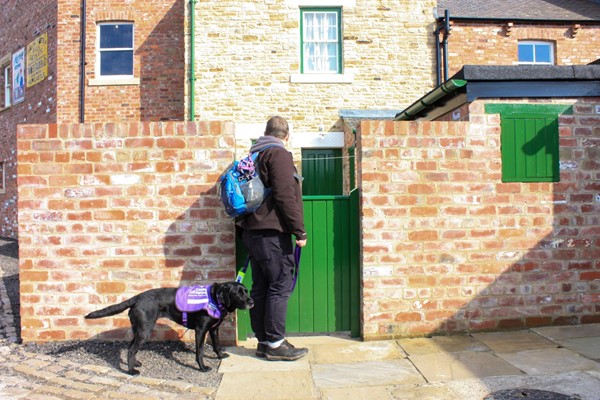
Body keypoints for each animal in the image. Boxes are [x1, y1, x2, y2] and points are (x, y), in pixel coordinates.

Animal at [85, 282, 253, 376]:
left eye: (246, 291)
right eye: (238, 293)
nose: (252, 302)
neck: (215, 298)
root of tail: (137, 297)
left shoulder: (213, 329)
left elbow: (217, 345)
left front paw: (220, 356)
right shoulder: (200, 330)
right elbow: (200, 352)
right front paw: (203, 367)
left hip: (139, 330)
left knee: (130, 348)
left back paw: (135, 364)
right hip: (145, 331)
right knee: (131, 349)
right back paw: (132, 371)